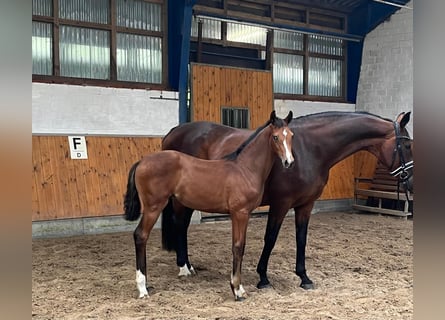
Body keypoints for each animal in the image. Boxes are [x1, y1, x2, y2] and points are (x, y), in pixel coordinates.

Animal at [123, 110, 294, 300]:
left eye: (291, 136)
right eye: (275, 137)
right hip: (153, 207)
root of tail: (141, 162)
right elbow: (238, 247)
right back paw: (142, 288)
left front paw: (238, 288)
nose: (289, 162)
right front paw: (237, 289)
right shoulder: (240, 213)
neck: (244, 168)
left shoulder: (243, 214)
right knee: (141, 235)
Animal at [160, 110, 412, 290]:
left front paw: (304, 277)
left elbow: (302, 239)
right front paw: (263, 278)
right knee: (180, 225)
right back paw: (183, 268)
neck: (311, 148)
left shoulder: (305, 205)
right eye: (407, 145)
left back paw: (189, 266)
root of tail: (172, 132)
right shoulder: (281, 203)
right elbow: (270, 238)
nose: (410, 182)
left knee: (182, 226)